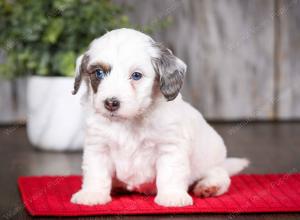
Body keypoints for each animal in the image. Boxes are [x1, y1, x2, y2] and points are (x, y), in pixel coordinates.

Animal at [71, 28, 248, 207]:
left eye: (136, 75)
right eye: (99, 73)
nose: (111, 103)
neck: (130, 121)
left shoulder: (170, 147)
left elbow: (170, 174)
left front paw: (172, 196)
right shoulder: (98, 146)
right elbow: (96, 173)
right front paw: (92, 193)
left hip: (209, 158)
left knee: (220, 173)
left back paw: (210, 185)